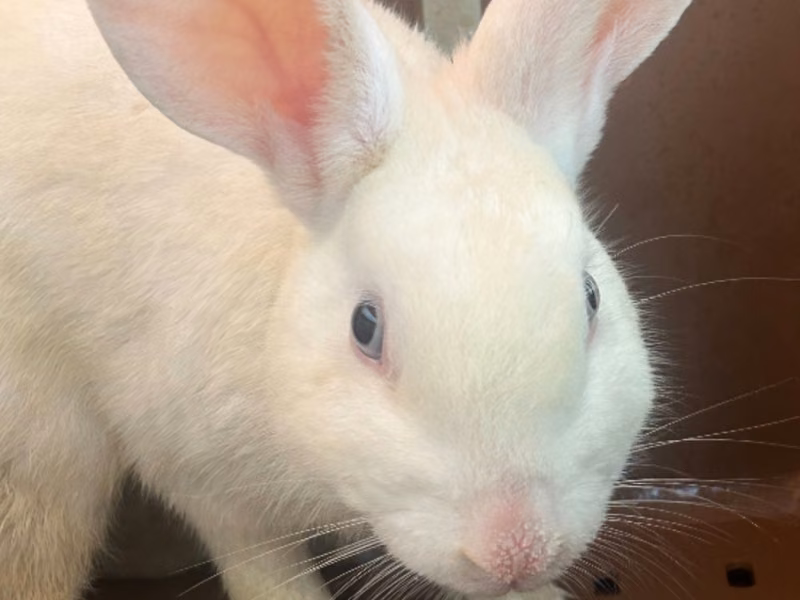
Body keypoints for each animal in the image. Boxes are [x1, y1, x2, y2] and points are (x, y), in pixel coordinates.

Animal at [0, 0, 691, 598]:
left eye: (591, 298)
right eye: (365, 326)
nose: (517, 548)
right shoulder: (204, 481)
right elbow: (263, 569)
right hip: (41, 457)